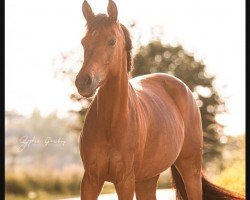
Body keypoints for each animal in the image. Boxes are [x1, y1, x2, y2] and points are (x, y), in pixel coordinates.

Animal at [75, 0, 245, 199]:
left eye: (111, 41)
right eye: (83, 42)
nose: (83, 81)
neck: (111, 122)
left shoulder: (125, 180)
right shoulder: (91, 180)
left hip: (190, 170)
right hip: (146, 180)